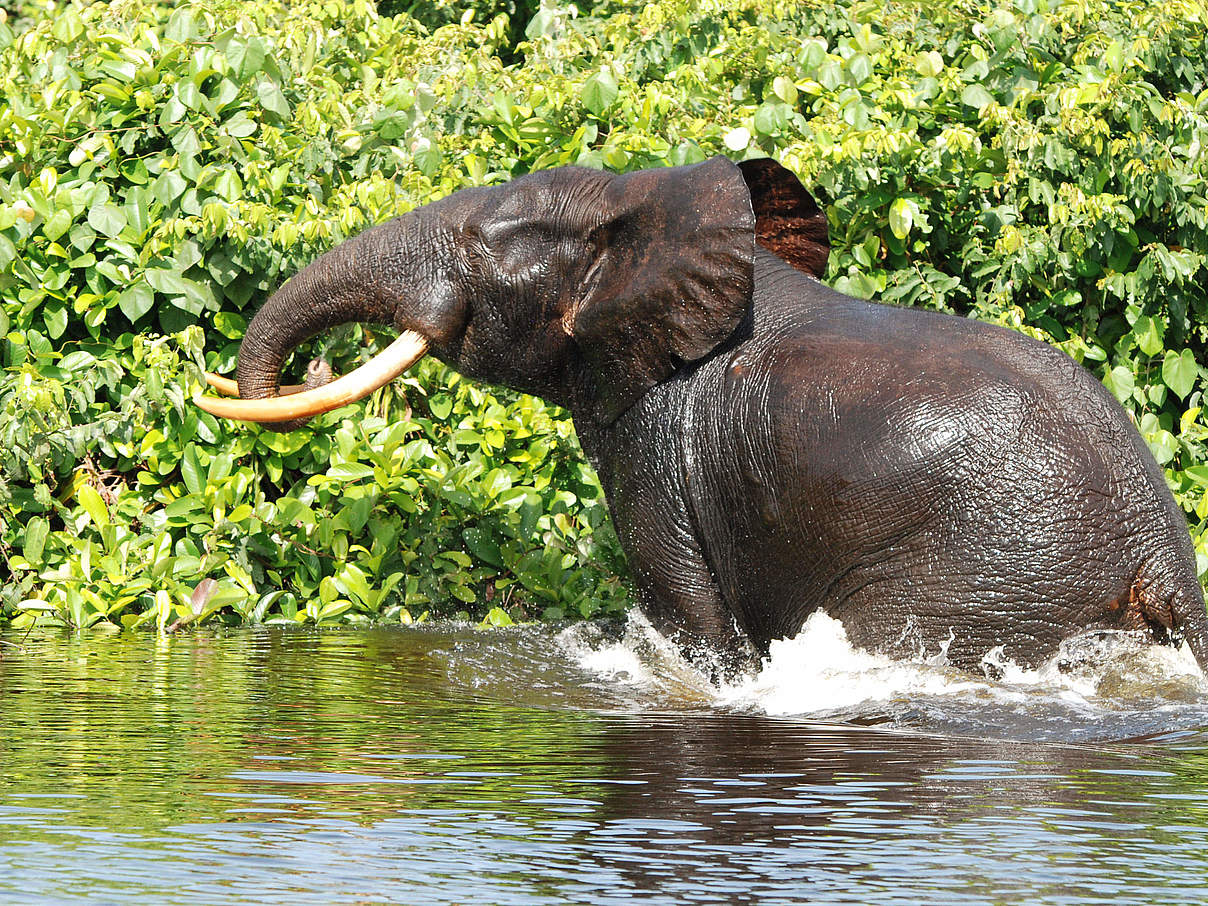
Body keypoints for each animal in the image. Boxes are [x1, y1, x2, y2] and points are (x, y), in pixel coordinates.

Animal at [195, 155, 1208, 676]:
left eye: (482, 243)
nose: (303, 369)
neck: (644, 202)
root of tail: (1161, 550)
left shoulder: (655, 440)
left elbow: (688, 614)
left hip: (984, 571)